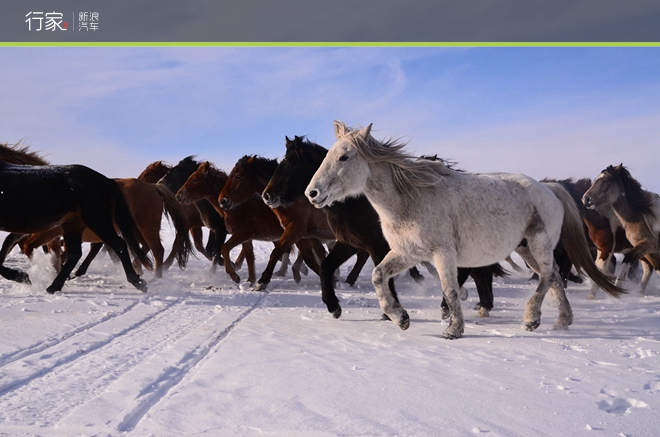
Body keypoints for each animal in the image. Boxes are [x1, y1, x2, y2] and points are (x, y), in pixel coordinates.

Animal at [260, 135, 502, 318]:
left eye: (289, 164)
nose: (267, 196)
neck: (355, 202)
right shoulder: (349, 243)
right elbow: (326, 267)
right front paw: (334, 306)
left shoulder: (377, 245)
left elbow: (383, 275)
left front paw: (391, 313)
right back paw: (478, 304)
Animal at [306, 121, 624, 338]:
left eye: (344, 157)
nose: (312, 193)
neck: (410, 199)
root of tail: (550, 188)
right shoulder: (407, 253)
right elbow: (378, 276)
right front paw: (401, 318)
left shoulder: (443, 253)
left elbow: (449, 289)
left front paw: (453, 330)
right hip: (526, 248)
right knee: (555, 276)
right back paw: (561, 321)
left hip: (539, 244)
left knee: (547, 276)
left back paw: (532, 318)